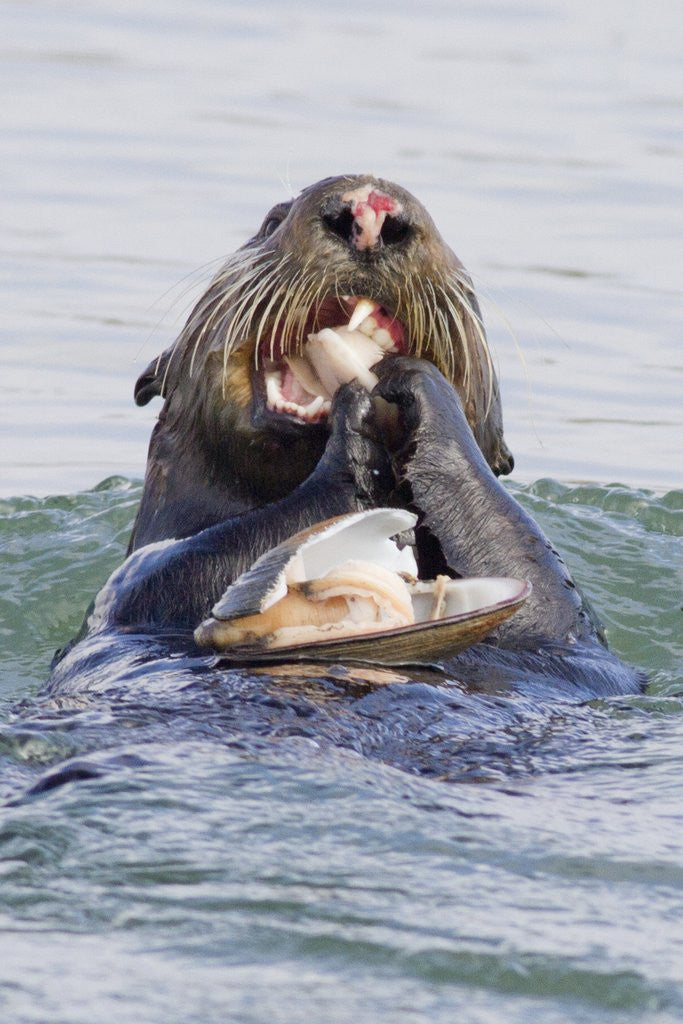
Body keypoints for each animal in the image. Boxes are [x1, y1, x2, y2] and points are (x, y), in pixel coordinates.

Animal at [50, 176, 643, 696]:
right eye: (270, 222)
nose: (370, 213)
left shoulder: (575, 645)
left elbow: (543, 595)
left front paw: (420, 387)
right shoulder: (134, 590)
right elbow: (197, 562)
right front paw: (354, 426)